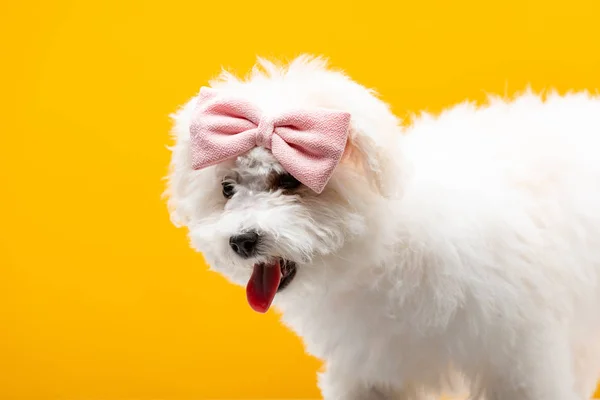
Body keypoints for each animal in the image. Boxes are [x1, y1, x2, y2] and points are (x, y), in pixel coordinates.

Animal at [165, 54, 600, 400]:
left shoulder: (518, 360)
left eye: (289, 181)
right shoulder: (368, 370)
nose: (241, 240)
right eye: (227, 189)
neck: (385, 254)